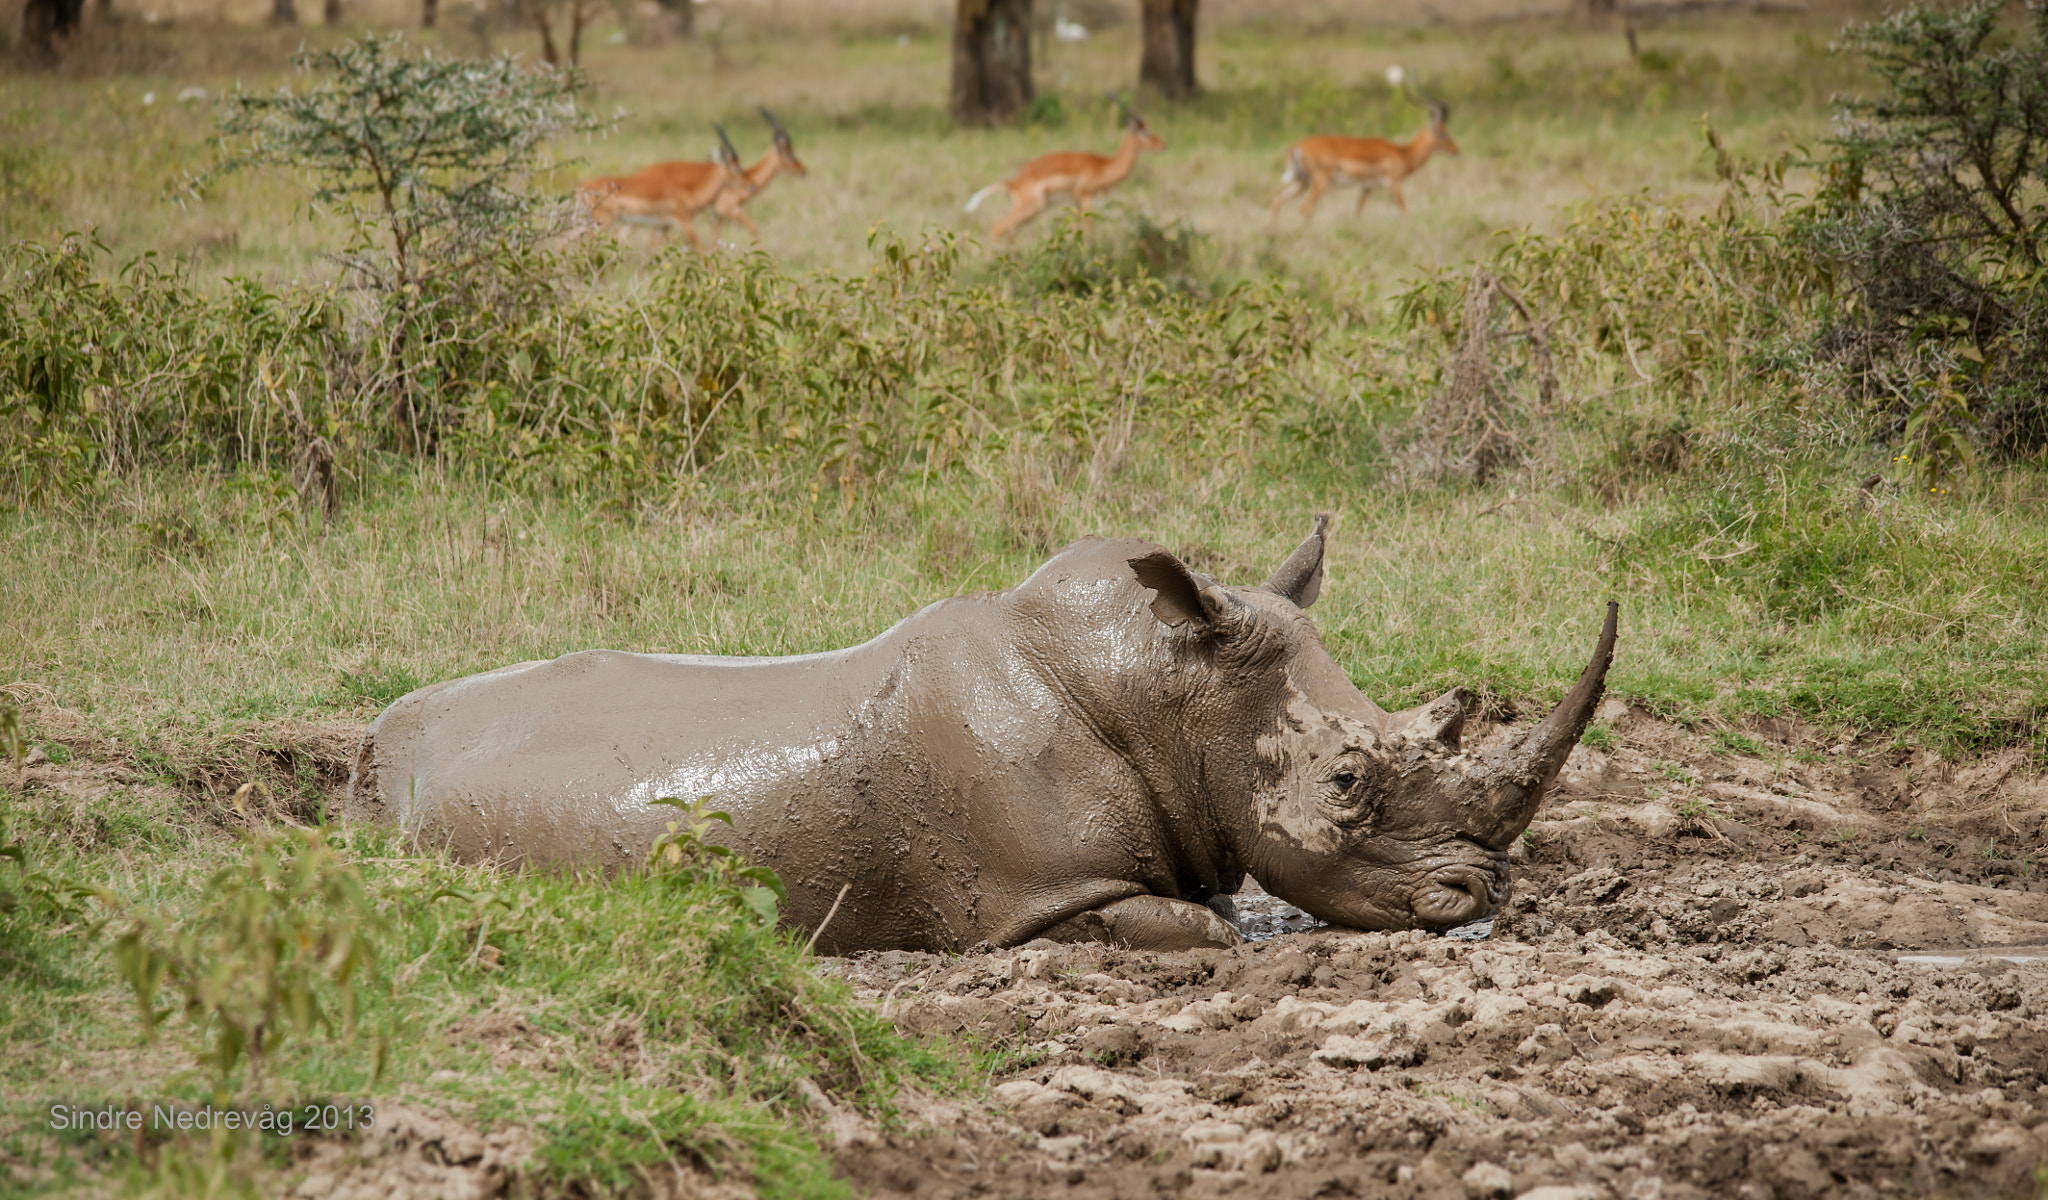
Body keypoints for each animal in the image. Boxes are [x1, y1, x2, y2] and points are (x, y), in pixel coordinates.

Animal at [347, 518, 1615, 953]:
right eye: (1347, 779)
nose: (1486, 889)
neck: (1163, 685)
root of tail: (369, 746)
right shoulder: (1040, 897)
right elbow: (1199, 928)